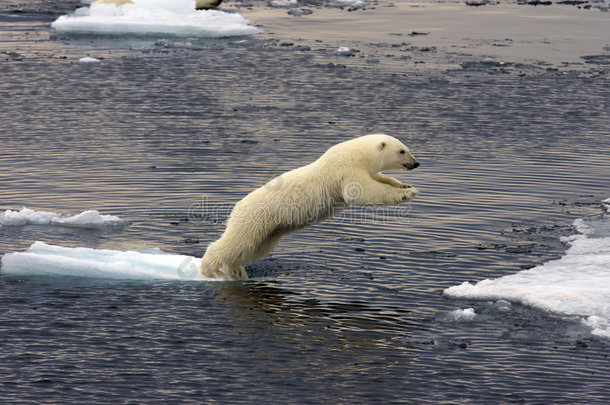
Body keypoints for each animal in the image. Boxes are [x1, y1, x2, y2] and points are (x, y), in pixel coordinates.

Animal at [200, 134, 418, 280]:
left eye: (407, 147)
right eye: (402, 150)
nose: (416, 163)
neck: (357, 154)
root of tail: (237, 207)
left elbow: (381, 179)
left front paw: (405, 185)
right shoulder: (345, 169)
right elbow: (363, 192)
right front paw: (407, 193)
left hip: (270, 230)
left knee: (253, 248)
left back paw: (236, 270)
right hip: (256, 217)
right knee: (237, 242)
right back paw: (210, 269)